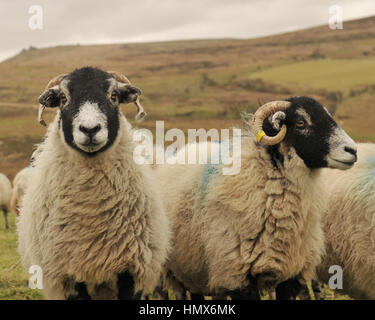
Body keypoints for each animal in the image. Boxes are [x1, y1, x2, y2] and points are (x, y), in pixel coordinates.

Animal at [17, 67, 170, 300]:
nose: (90, 129)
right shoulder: (69, 276)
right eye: (63, 98)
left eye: (114, 96)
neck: (91, 211)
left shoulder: (131, 271)